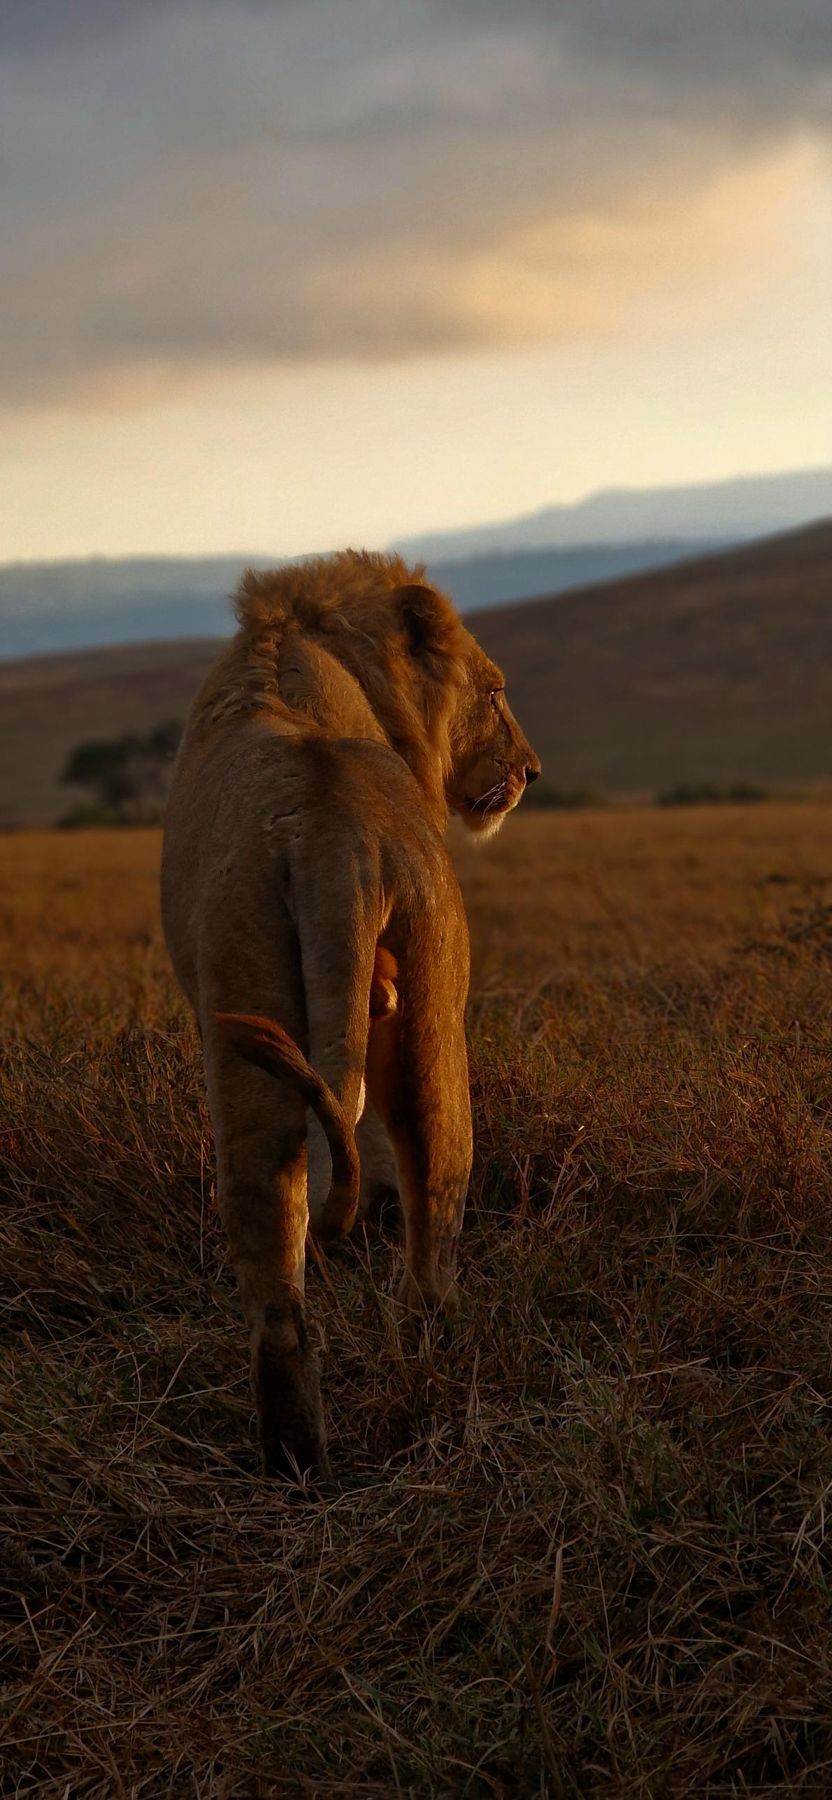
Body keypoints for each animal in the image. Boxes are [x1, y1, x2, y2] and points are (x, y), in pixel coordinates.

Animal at [161, 550, 540, 1480]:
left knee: (288, 1257)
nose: (532, 771)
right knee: (428, 1217)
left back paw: (306, 1456)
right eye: (495, 691)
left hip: (248, 992)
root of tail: (334, 830)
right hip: (432, 998)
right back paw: (424, 1388)